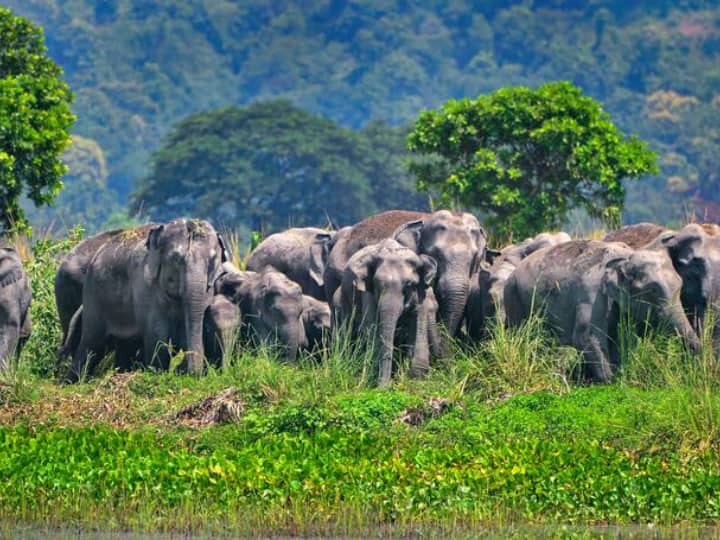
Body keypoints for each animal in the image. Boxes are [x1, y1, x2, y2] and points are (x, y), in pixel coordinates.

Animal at [68, 219, 229, 382]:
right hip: (94, 295)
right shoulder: (145, 285)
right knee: (91, 343)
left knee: (124, 346)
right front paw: (158, 374)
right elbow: (157, 336)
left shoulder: (209, 287)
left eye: (213, 260)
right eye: (175, 259)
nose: (185, 371)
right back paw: (73, 382)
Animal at [338, 239, 438, 387]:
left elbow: (418, 322)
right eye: (377, 285)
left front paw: (416, 378)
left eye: (409, 285)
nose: (382, 388)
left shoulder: (421, 292)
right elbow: (372, 326)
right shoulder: (368, 293)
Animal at [504, 240, 701, 382]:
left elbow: (621, 341)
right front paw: (611, 381)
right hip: (514, 297)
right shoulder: (592, 295)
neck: (626, 257)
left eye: (680, 286)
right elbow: (585, 337)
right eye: (651, 291)